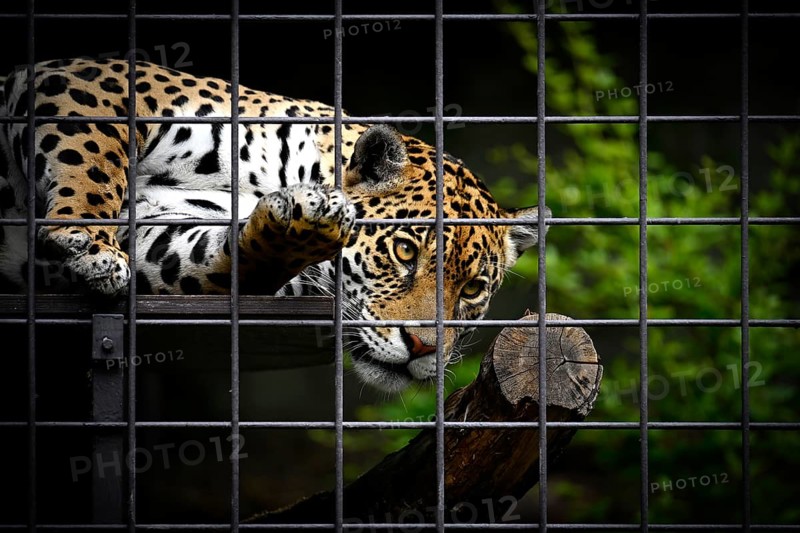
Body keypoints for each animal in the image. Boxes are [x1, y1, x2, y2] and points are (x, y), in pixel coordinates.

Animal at [0, 58, 550, 392]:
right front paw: (88, 242)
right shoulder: (84, 81)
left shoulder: (161, 231)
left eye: (473, 288)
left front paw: (301, 224)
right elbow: (93, 152)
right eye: (405, 253)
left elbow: (220, 259)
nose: (423, 348)